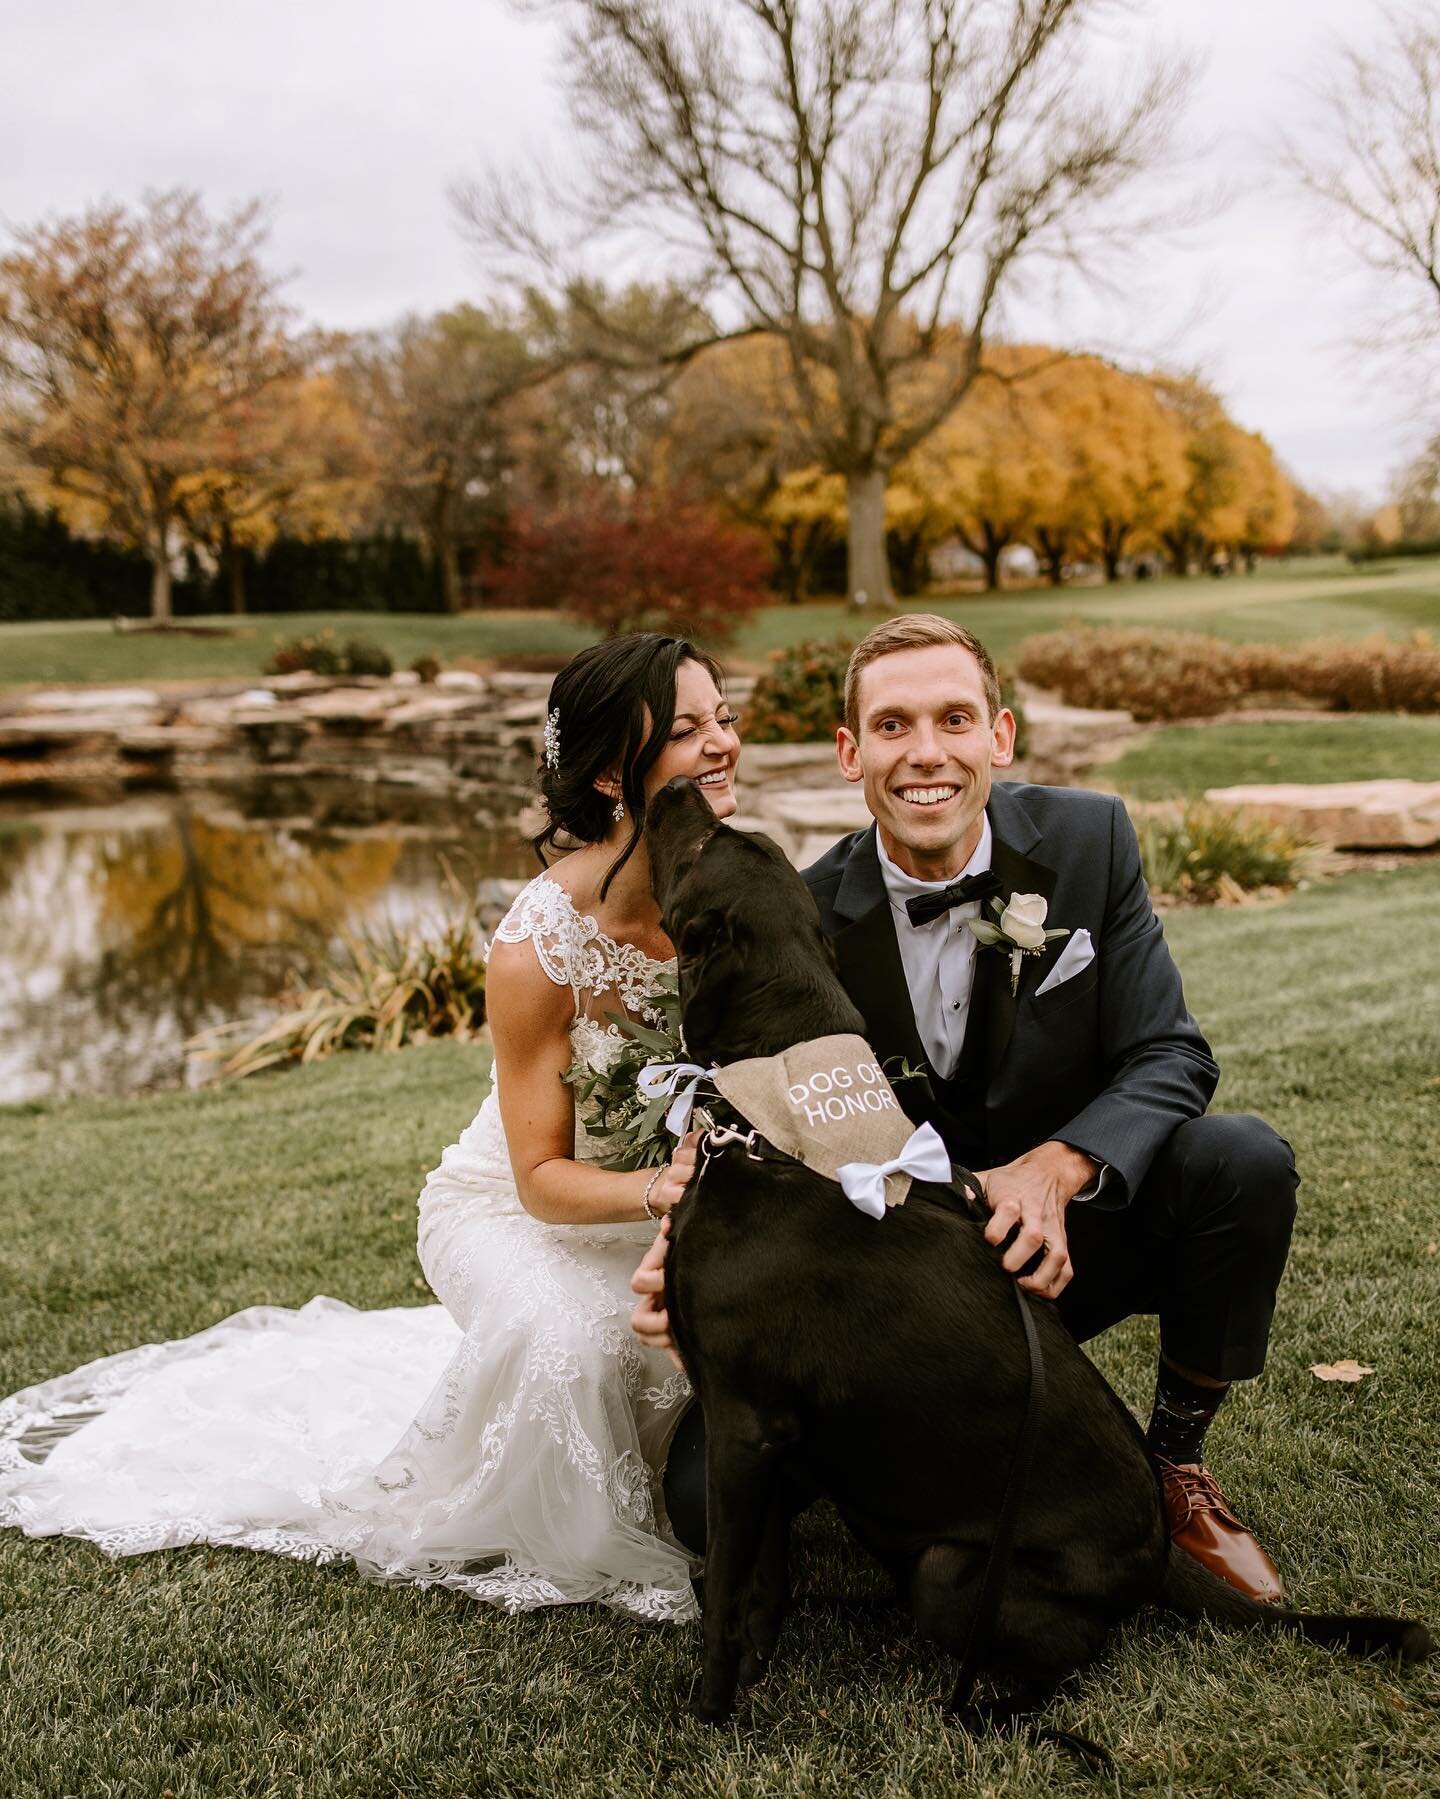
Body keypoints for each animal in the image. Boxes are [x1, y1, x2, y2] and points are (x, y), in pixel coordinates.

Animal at [648, 777, 1432, 1727]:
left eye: (704, 843)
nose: (677, 783)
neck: (783, 1125)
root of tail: (1159, 1553)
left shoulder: (743, 1423)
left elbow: (726, 1588)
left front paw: (706, 1710)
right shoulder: (769, 1436)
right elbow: (759, 1580)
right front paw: (752, 1671)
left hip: (951, 1572)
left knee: (1076, 1660)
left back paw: (983, 1709)